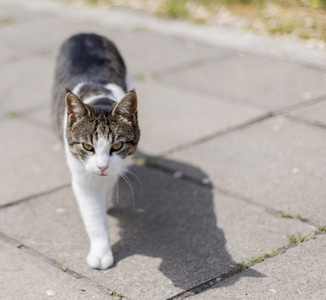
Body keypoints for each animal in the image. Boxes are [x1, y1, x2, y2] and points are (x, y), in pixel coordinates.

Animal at [52, 32, 140, 270]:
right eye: (87, 146)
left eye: (117, 146)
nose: (101, 166)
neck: (99, 96)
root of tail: (85, 33)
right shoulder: (83, 177)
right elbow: (93, 214)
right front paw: (101, 251)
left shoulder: (114, 167)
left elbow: (109, 183)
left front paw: (106, 200)